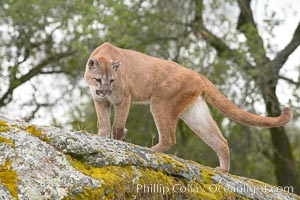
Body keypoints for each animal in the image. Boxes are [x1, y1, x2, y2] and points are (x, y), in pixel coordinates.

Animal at [84, 41, 292, 171]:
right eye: (98, 79)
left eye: (112, 80)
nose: (105, 91)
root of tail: (198, 75)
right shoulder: (100, 101)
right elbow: (104, 122)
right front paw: (102, 137)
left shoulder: (123, 99)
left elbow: (118, 124)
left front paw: (118, 139)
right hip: (194, 113)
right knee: (220, 140)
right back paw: (223, 170)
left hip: (160, 102)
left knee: (170, 138)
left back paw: (150, 151)